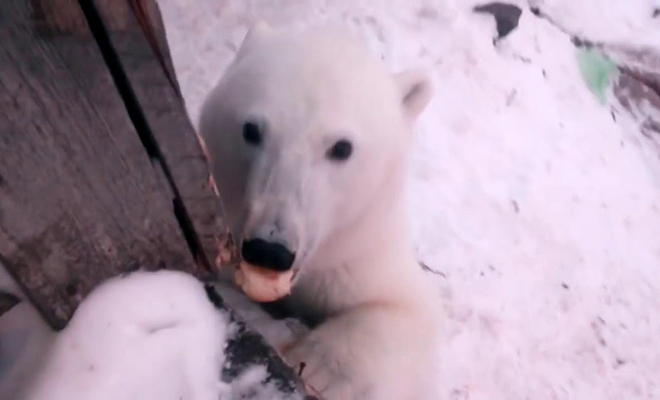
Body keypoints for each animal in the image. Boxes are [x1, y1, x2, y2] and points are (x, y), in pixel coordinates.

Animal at [199, 23, 440, 398]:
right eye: (250, 129)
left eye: (341, 148)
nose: (269, 250)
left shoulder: (360, 253)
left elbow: (407, 310)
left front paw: (316, 364)